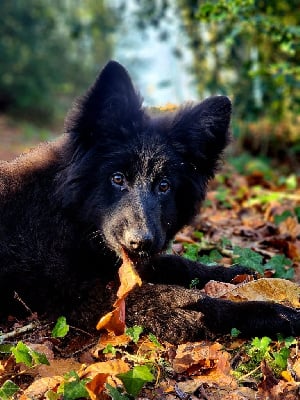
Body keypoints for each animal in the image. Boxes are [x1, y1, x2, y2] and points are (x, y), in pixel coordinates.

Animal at [1, 61, 298, 338]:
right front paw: (271, 312)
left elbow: (177, 263)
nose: (140, 241)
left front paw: (233, 272)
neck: (65, 214)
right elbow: (187, 300)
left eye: (164, 186)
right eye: (117, 178)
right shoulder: (87, 295)